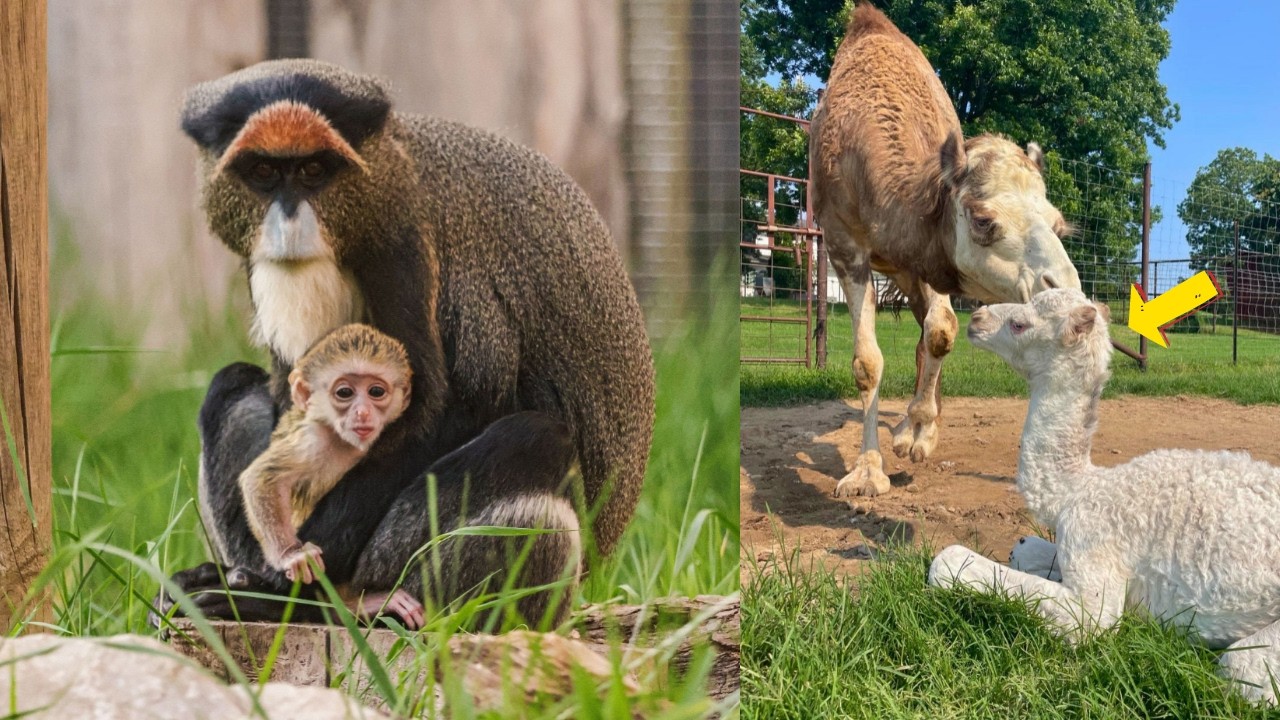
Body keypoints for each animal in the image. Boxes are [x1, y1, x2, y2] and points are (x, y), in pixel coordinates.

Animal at [235, 324, 426, 629]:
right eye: (345, 392)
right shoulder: (314, 439)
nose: (362, 412)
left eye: (376, 391)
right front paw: (291, 555)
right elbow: (260, 478)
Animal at [810, 3, 1080, 497]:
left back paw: (916, 431)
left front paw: (917, 433)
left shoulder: (931, 254)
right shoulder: (844, 244)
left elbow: (941, 331)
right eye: (983, 220)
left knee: (927, 331)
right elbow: (866, 363)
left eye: (1057, 224)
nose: (1063, 287)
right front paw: (867, 473)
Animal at [929, 288, 1280, 705]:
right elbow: (1022, 547)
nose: (976, 319)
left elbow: (1089, 618)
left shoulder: (1096, 558)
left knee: (1241, 668)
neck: (1079, 488)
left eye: (1019, 323)